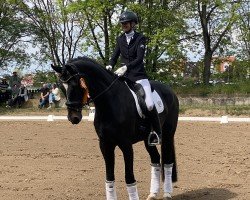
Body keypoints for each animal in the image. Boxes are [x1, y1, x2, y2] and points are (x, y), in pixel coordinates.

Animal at [51, 56, 179, 200]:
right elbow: (109, 177)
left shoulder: (126, 145)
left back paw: (167, 193)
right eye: (62, 86)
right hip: (148, 140)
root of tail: (170, 90)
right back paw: (152, 194)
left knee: (168, 162)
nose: (73, 117)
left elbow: (129, 178)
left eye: (74, 84)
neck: (109, 103)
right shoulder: (105, 144)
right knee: (156, 160)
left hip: (168, 135)